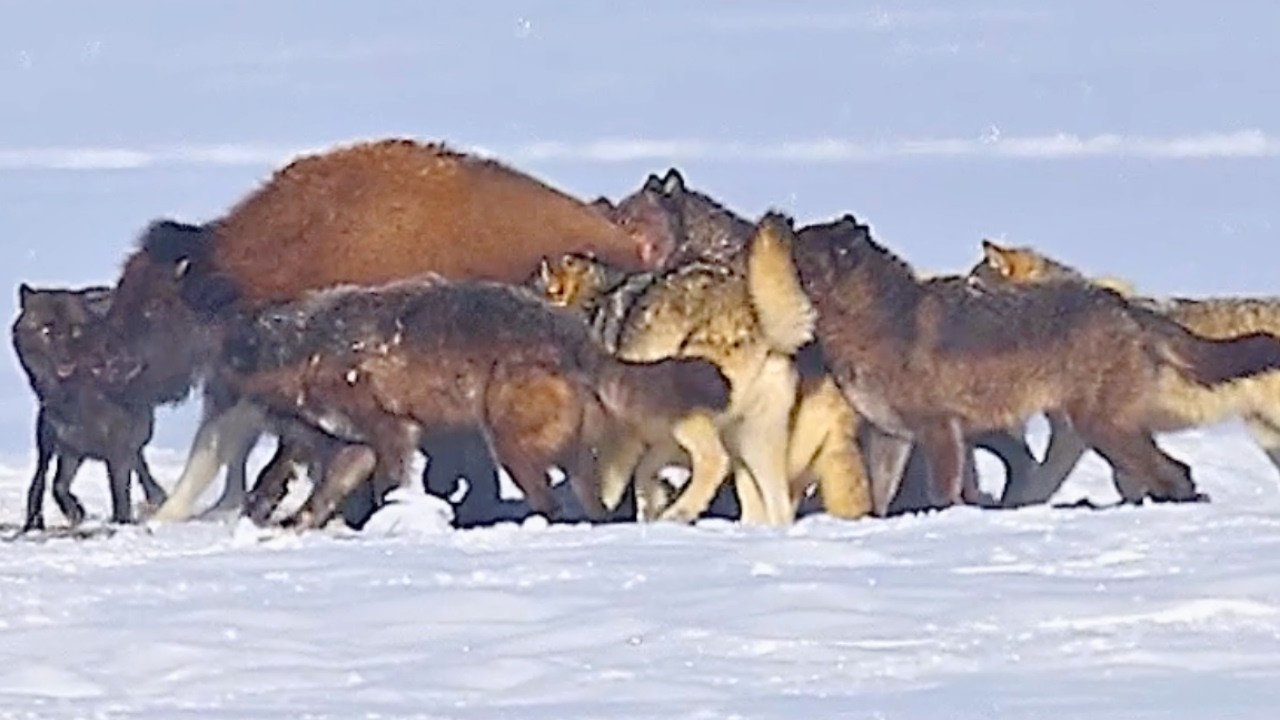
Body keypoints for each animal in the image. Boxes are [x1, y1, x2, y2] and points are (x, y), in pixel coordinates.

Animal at [11, 283, 168, 530]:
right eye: (46, 331)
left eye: (76, 330)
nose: (65, 359)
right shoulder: (70, 447)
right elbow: (57, 485)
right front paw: (75, 511)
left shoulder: (117, 445)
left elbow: (120, 490)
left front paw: (122, 522)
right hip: (45, 438)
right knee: (41, 477)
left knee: (139, 462)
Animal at [215, 275, 733, 529]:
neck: (309, 347)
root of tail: (577, 337)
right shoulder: (355, 446)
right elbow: (323, 497)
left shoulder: (390, 432)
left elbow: (387, 487)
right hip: (568, 459)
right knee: (595, 510)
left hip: (510, 446)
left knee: (552, 505)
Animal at [531, 215, 872, 526]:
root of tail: (756, 319)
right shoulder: (656, 437)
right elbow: (643, 476)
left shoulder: (626, 433)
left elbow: (607, 486)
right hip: (754, 439)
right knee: (778, 507)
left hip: (697, 412)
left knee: (715, 461)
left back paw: (679, 513)